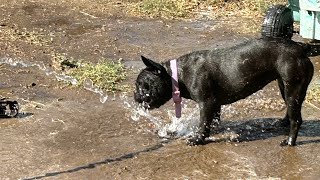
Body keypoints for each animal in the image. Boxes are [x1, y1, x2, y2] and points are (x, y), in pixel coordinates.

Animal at [134, 38, 314, 146]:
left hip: (293, 88)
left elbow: (203, 123)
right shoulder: (215, 104)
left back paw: (289, 141)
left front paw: (198, 139)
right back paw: (282, 123)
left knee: (296, 119)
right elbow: (212, 120)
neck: (176, 75)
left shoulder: (206, 103)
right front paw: (212, 131)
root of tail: (301, 48)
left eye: (143, 86)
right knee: (290, 110)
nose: (136, 96)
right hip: (284, 87)